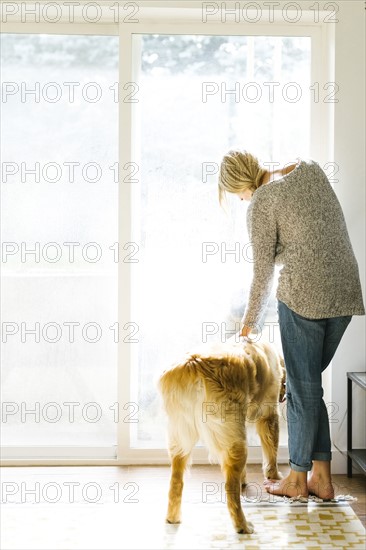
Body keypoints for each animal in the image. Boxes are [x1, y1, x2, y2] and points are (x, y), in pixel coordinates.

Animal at [159, 340, 288, 536]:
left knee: (176, 482)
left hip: (180, 437)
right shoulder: (269, 416)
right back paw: (243, 525)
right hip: (233, 437)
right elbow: (271, 452)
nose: (284, 396)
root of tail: (193, 364)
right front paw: (274, 476)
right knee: (230, 489)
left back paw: (172, 518)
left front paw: (245, 478)